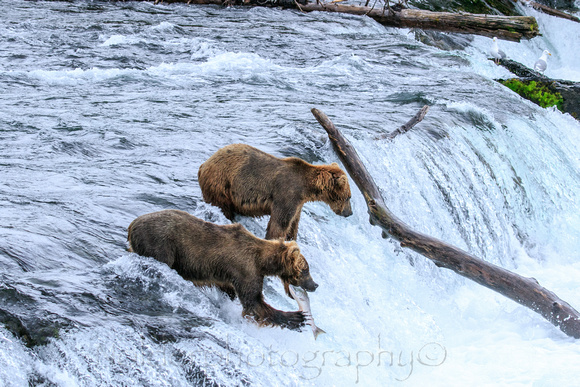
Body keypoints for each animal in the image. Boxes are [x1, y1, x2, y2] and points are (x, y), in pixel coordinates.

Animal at [127, 209, 318, 330]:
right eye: (305, 270)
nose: (315, 285)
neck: (263, 260)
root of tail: (131, 225)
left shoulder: (229, 276)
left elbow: (233, 292)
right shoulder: (246, 269)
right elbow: (253, 303)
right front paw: (296, 318)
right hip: (160, 244)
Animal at [198, 144, 354, 241]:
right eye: (349, 197)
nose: (349, 213)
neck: (306, 187)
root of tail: (204, 164)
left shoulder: (298, 203)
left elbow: (293, 223)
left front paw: (291, 238)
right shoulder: (287, 194)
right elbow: (279, 224)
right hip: (221, 184)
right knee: (222, 206)